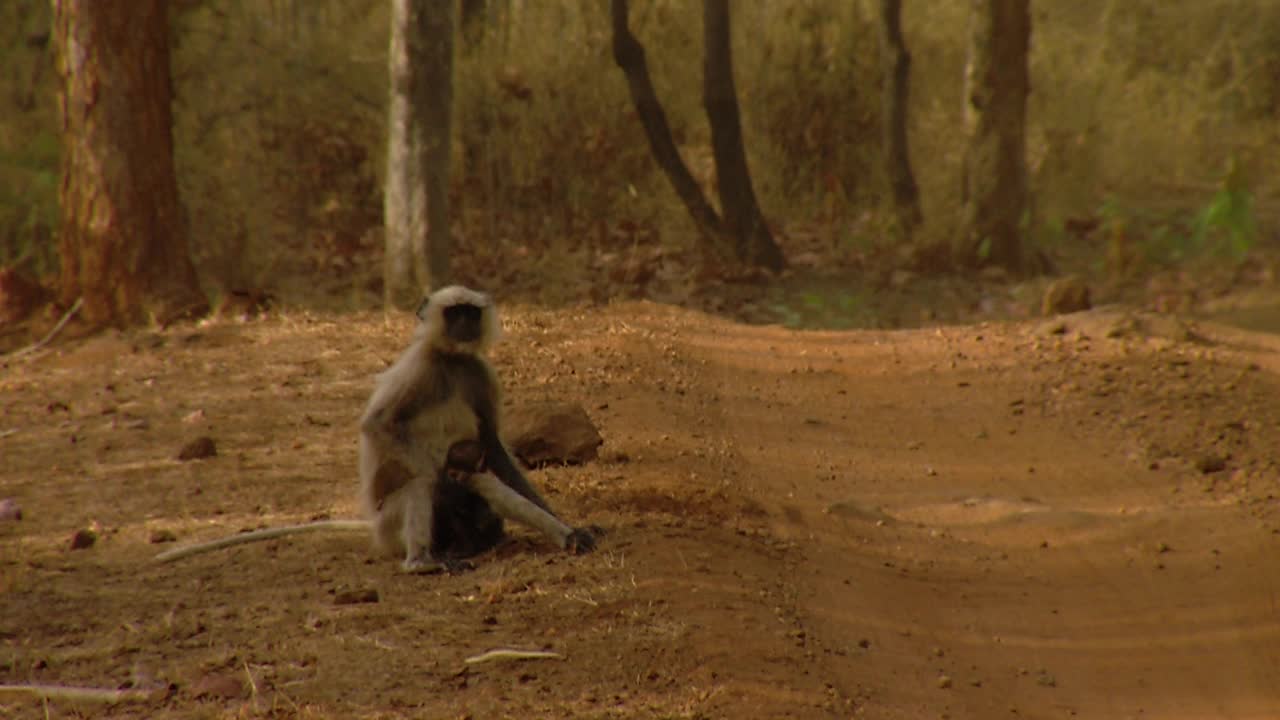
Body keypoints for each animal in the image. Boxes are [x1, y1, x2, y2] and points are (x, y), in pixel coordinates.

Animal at [358, 283, 596, 568]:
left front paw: (565, 524)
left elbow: (491, 443)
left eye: (471, 313)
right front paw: (447, 488)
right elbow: (378, 424)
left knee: (482, 483)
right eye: (454, 313)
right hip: (390, 527)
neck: (452, 360)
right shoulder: (418, 368)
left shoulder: (479, 372)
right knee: (422, 482)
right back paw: (422, 562)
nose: (465, 324)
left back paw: (565, 537)